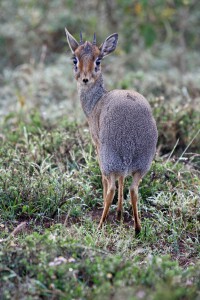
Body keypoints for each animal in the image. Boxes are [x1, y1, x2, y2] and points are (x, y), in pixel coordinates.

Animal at [65, 29, 158, 236]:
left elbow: (106, 182)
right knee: (133, 189)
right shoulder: (123, 169)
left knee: (111, 188)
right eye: (75, 59)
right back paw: (137, 228)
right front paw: (120, 213)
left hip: (109, 161)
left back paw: (100, 224)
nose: (85, 78)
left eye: (98, 60)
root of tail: (131, 139)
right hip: (141, 166)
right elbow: (123, 180)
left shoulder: (97, 146)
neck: (96, 102)